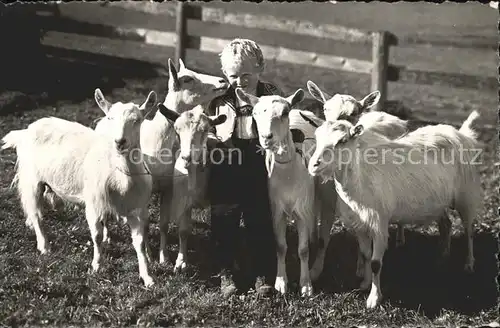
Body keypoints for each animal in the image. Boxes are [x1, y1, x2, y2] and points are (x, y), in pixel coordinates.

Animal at [1, 89, 158, 288]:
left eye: (137, 120)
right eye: (110, 118)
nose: (119, 142)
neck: (121, 177)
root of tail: (25, 131)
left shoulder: (137, 209)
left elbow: (139, 242)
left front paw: (147, 277)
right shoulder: (93, 204)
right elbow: (96, 236)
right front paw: (97, 266)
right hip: (31, 179)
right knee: (36, 213)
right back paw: (44, 246)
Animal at [95, 57, 229, 266]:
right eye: (187, 79)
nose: (223, 81)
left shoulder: (168, 187)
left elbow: (163, 223)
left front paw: (163, 257)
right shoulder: (147, 188)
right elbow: (146, 223)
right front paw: (151, 255)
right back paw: (108, 235)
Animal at [306, 110, 482, 308]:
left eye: (342, 140)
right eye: (316, 137)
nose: (313, 165)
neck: (361, 180)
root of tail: (461, 134)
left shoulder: (379, 223)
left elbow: (375, 263)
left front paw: (374, 299)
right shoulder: (360, 224)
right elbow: (366, 255)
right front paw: (365, 283)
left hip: (466, 195)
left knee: (469, 231)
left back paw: (469, 264)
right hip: (438, 202)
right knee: (446, 224)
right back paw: (443, 256)